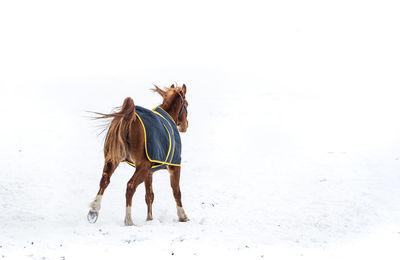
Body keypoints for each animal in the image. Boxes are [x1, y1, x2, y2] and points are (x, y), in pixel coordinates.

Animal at [87, 84, 189, 225]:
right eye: (187, 104)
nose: (185, 126)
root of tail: (129, 117)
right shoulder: (174, 166)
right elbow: (176, 192)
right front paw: (183, 216)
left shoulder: (149, 172)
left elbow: (149, 195)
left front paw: (149, 219)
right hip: (141, 167)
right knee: (130, 186)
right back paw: (129, 220)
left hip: (112, 160)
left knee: (104, 181)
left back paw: (94, 211)